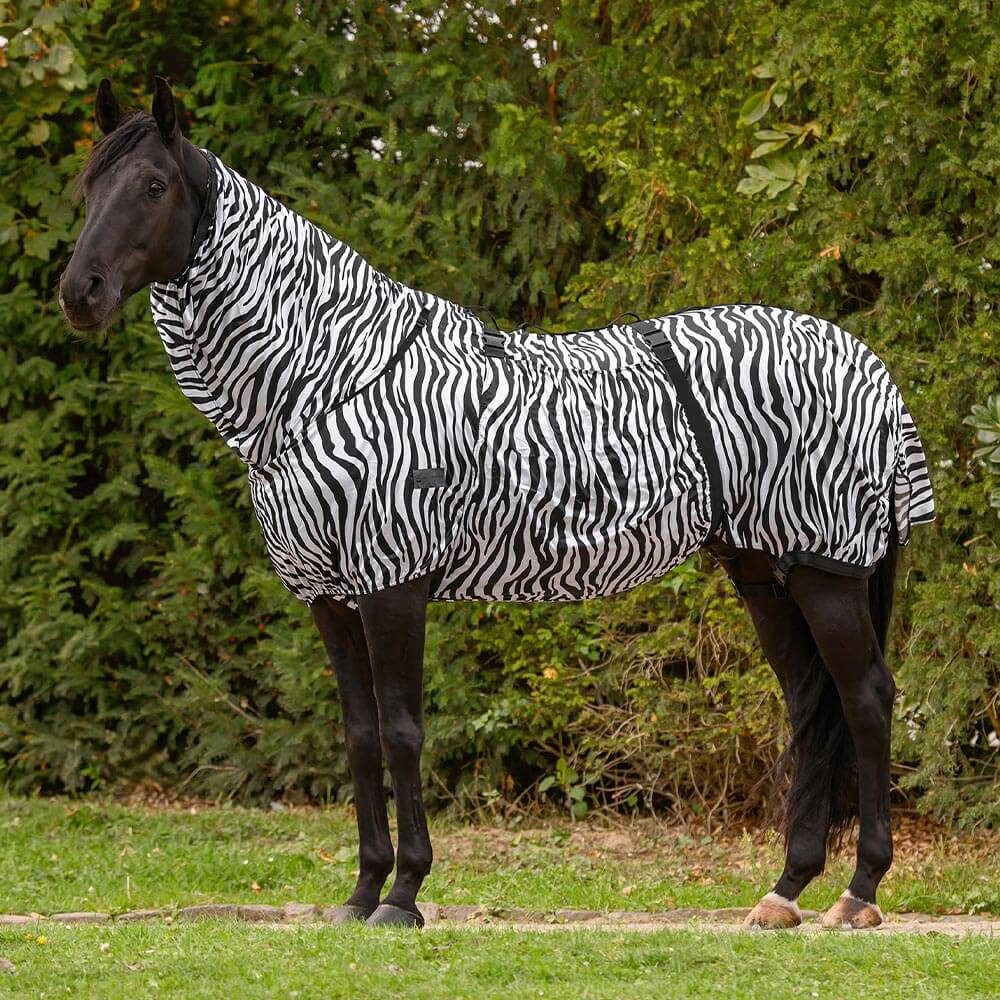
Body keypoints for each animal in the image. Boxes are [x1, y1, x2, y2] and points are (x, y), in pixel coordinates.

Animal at [60, 78, 934, 931]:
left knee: (865, 699)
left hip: (824, 569)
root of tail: (867, 364)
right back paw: (785, 891)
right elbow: (359, 737)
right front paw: (360, 893)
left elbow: (403, 732)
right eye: (89, 185)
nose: (79, 294)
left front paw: (404, 895)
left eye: (152, 185)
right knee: (811, 705)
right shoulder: (328, 597)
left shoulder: (393, 582)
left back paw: (859, 893)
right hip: (762, 571)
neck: (327, 376)